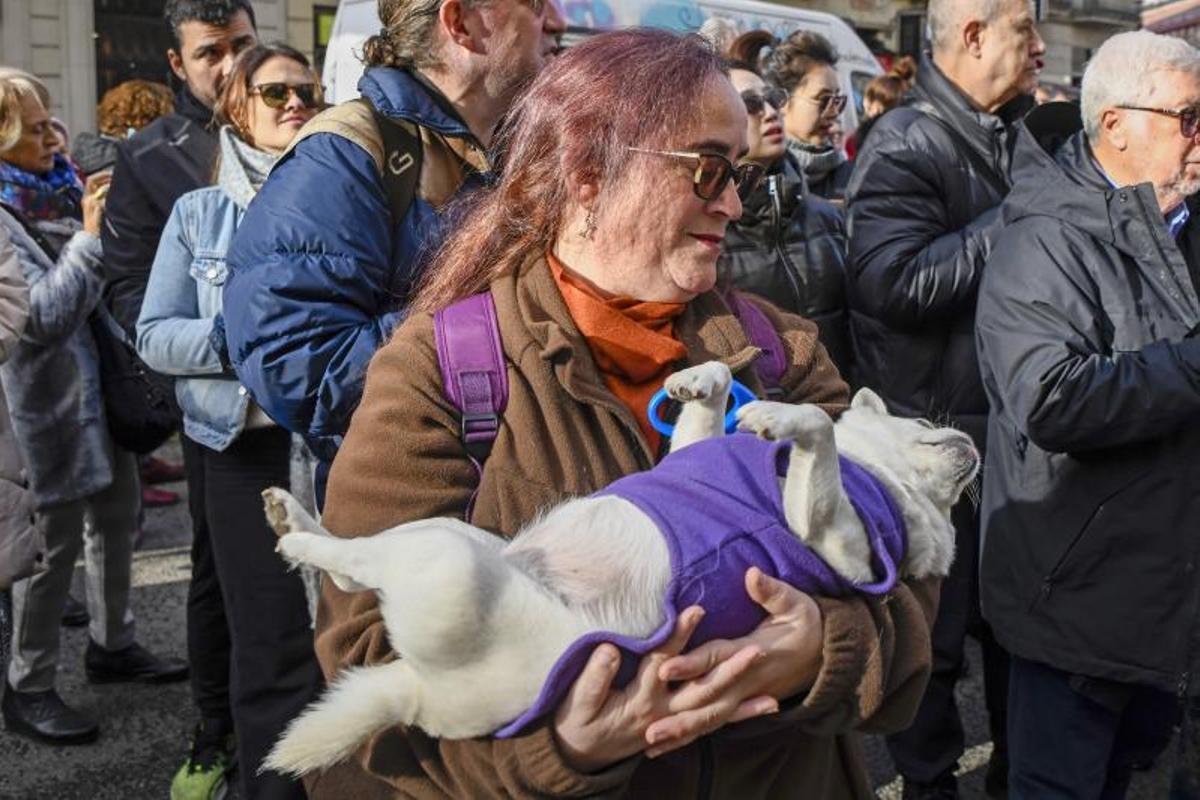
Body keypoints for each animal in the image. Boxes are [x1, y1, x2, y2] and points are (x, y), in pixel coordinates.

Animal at [260, 362, 974, 777]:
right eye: (918, 417)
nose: (972, 442)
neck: (877, 479)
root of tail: (413, 694)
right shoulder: (690, 455)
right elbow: (717, 396)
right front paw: (695, 381)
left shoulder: (830, 536)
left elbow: (816, 429)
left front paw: (776, 416)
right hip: (457, 538)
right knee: (355, 569)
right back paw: (297, 519)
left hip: (444, 559)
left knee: (352, 566)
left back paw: (299, 540)